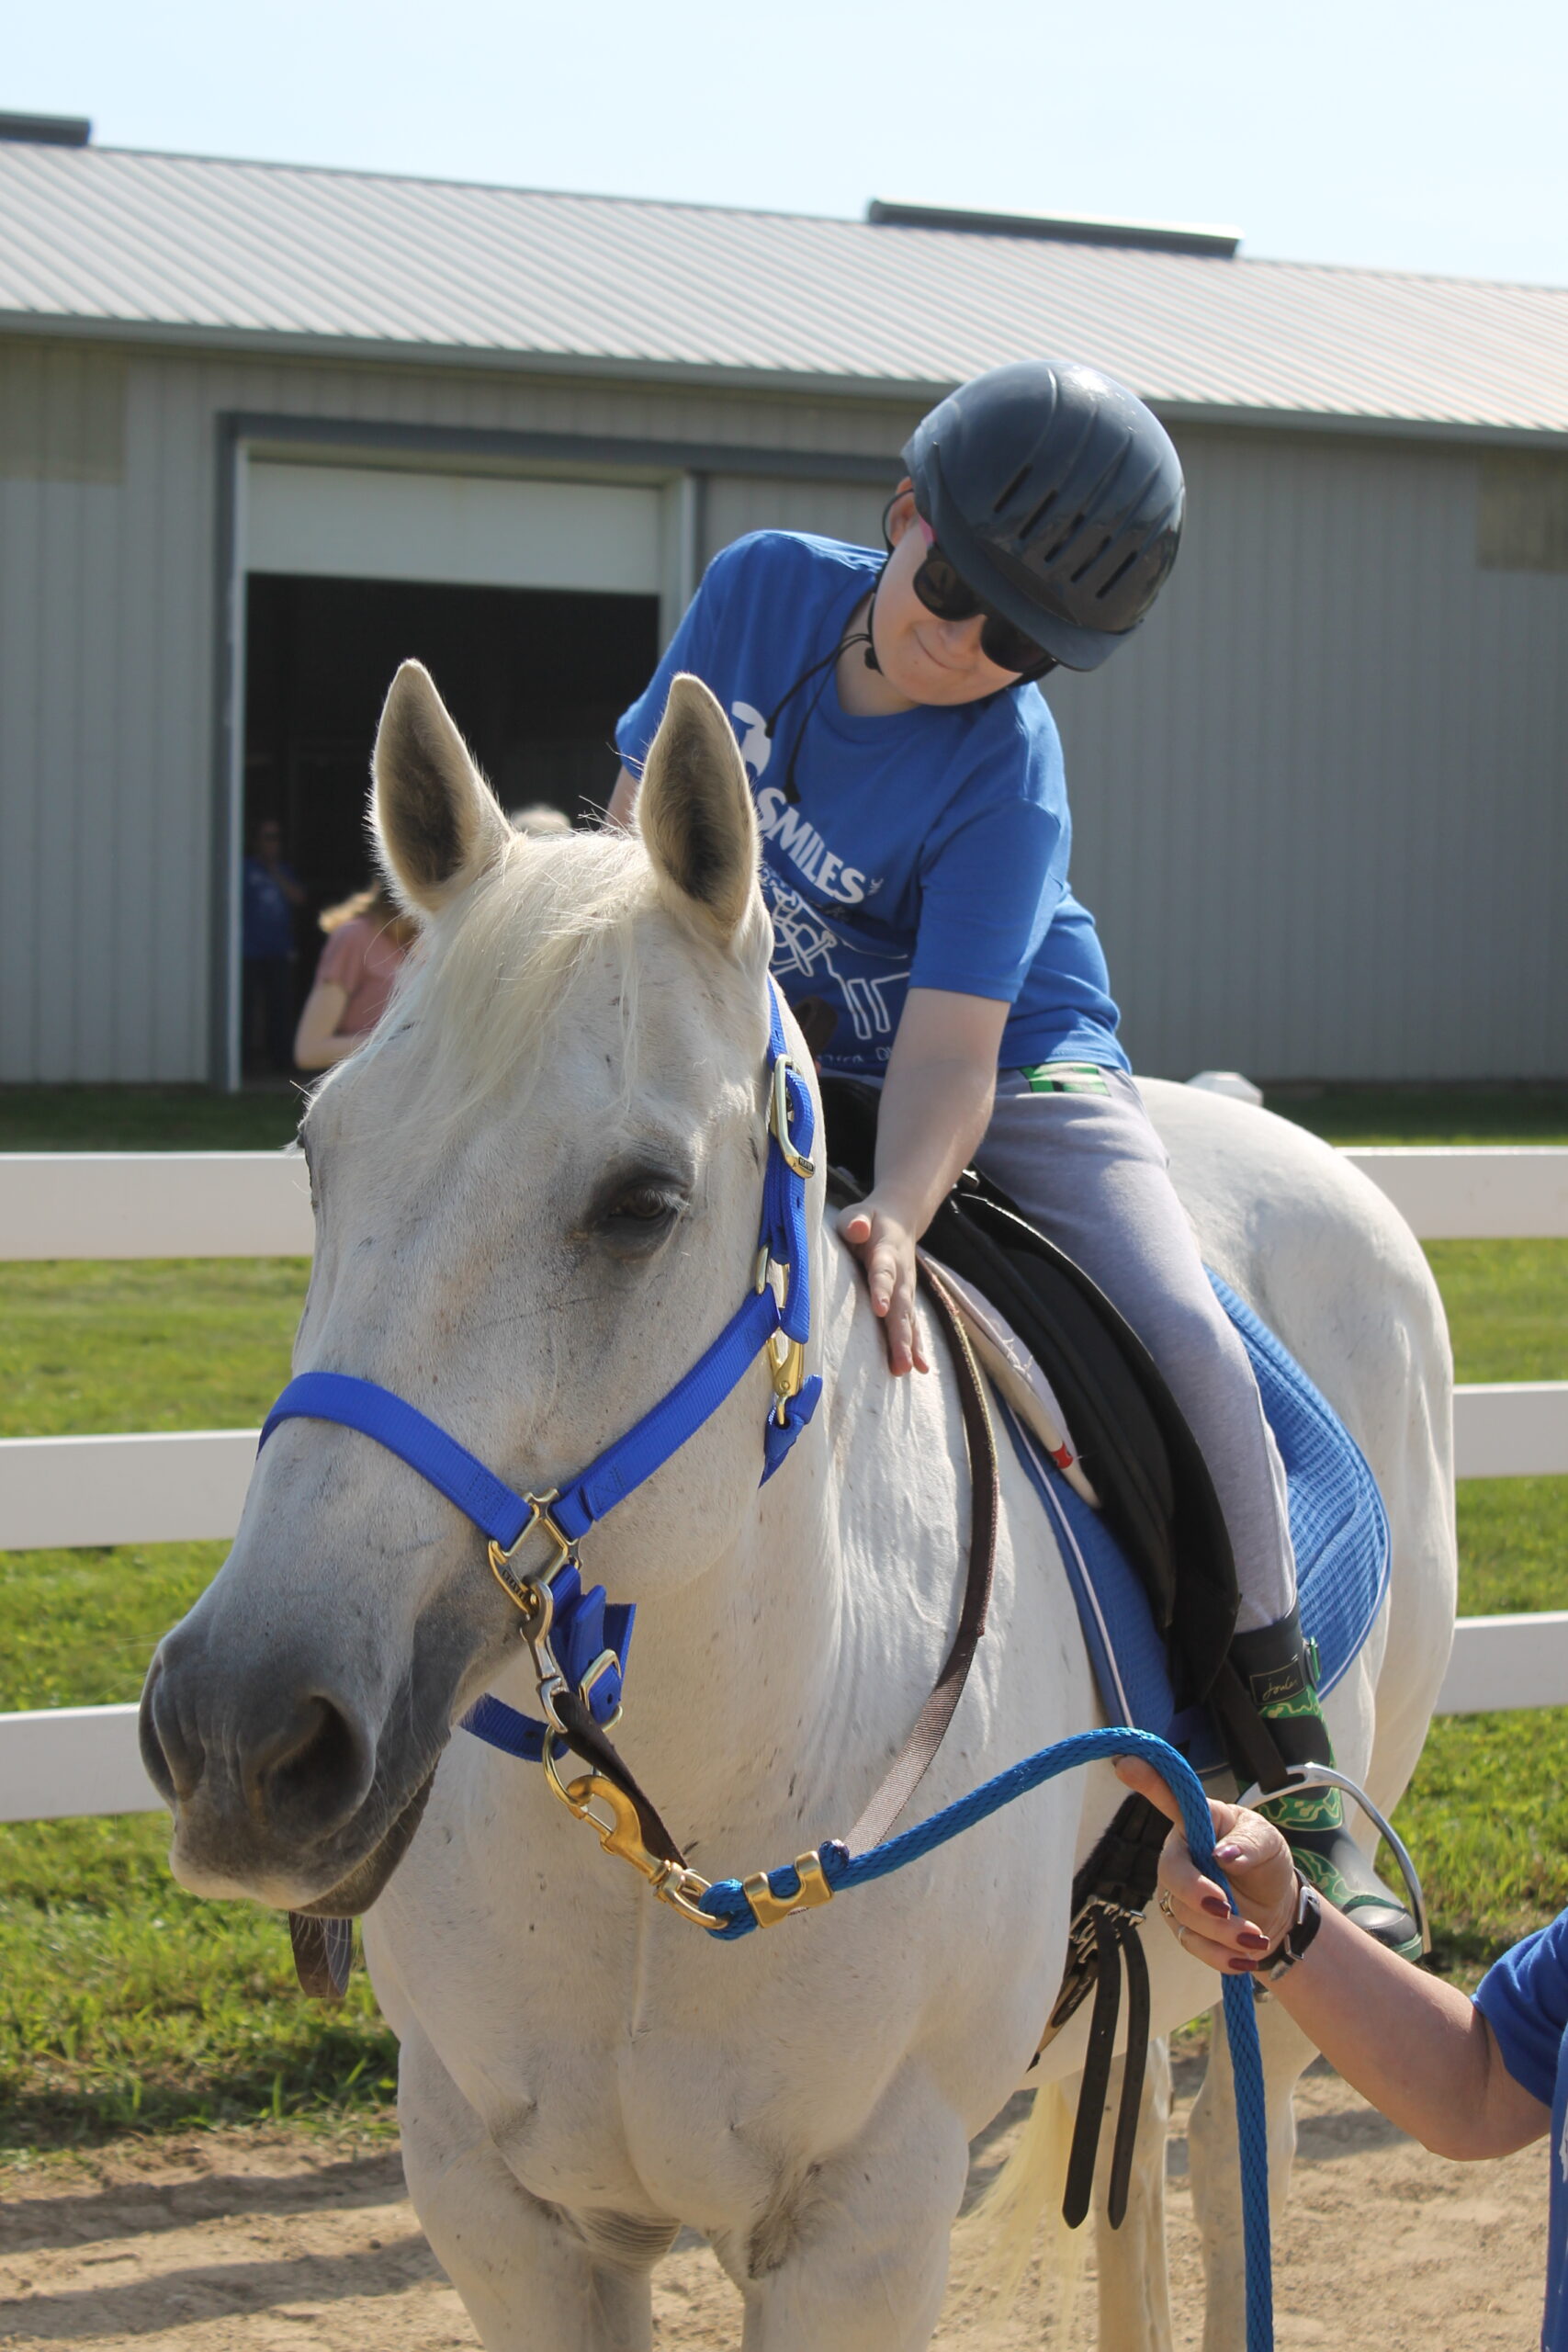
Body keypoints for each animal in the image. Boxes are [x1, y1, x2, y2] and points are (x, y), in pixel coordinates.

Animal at [139, 664, 1456, 2351]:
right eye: (317, 1151)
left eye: (640, 1202)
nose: (241, 1732)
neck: (681, 1844)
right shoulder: (503, 2216)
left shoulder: (862, 2229)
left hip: (1277, 1993)